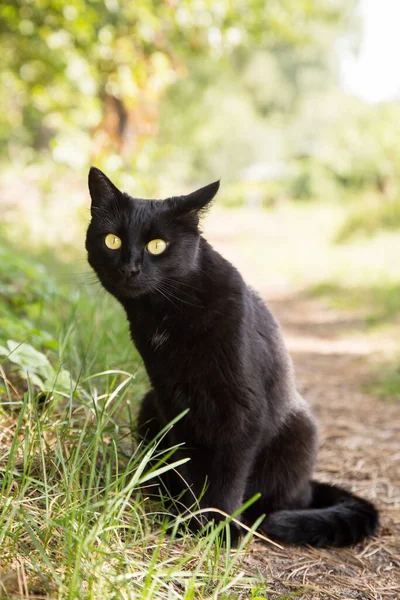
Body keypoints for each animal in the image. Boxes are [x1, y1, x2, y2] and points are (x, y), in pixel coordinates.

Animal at [86, 165, 378, 548]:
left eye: (157, 245)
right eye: (112, 241)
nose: (129, 269)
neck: (168, 316)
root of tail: (309, 488)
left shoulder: (242, 409)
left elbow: (228, 473)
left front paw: (218, 528)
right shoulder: (172, 402)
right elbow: (188, 465)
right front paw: (189, 519)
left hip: (299, 431)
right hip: (149, 405)